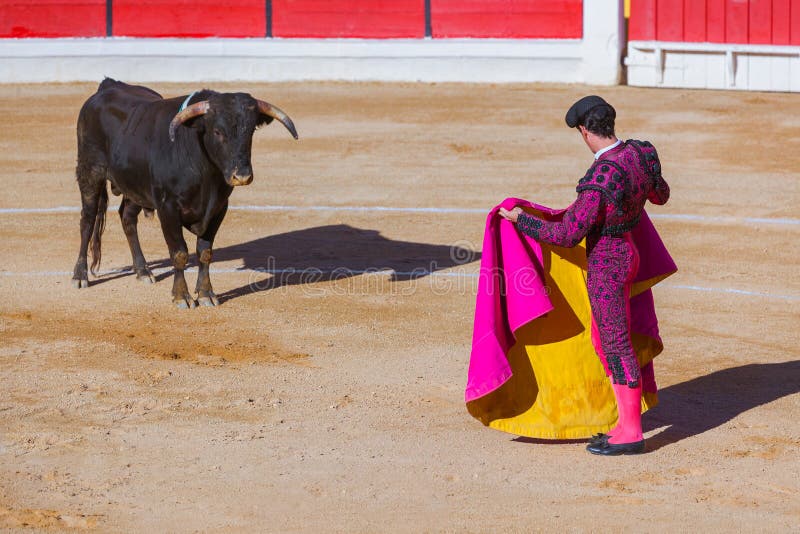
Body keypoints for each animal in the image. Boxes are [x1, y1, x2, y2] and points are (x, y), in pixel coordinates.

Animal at [73, 77, 298, 308]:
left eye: (251, 131)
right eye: (217, 131)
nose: (242, 175)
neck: (206, 174)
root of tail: (108, 85)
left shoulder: (218, 208)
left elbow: (205, 252)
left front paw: (206, 294)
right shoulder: (167, 208)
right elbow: (179, 252)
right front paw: (182, 296)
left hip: (136, 187)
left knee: (127, 217)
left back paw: (143, 271)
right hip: (89, 173)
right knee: (87, 220)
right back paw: (80, 276)